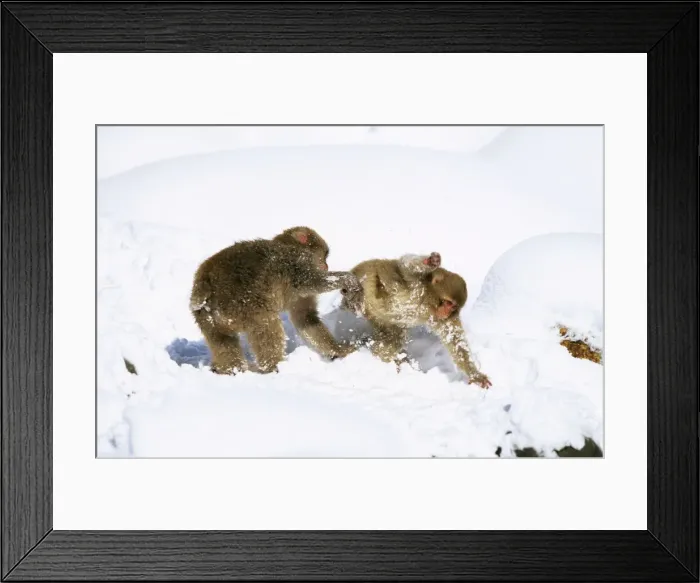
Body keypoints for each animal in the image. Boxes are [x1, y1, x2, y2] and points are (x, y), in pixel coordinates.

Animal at [189, 226, 362, 375]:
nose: (326, 266)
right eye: (324, 256)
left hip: (207, 317)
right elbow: (314, 282)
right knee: (267, 325)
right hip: (243, 304)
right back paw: (273, 366)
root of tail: (205, 283)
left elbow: (305, 318)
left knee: (222, 341)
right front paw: (347, 279)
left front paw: (338, 350)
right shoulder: (296, 263)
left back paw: (229, 369)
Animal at [342, 252, 492, 389]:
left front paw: (475, 375)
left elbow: (455, 341)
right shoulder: (417, 283)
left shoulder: (445, 319)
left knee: (393, 340)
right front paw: (430, 261)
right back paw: (355, 301)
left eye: (453, 306)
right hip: (365, 272)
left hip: (380, 321)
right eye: (448, 303)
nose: (445, 312)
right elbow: (406, 265)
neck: (427, 301)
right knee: (372, 279)